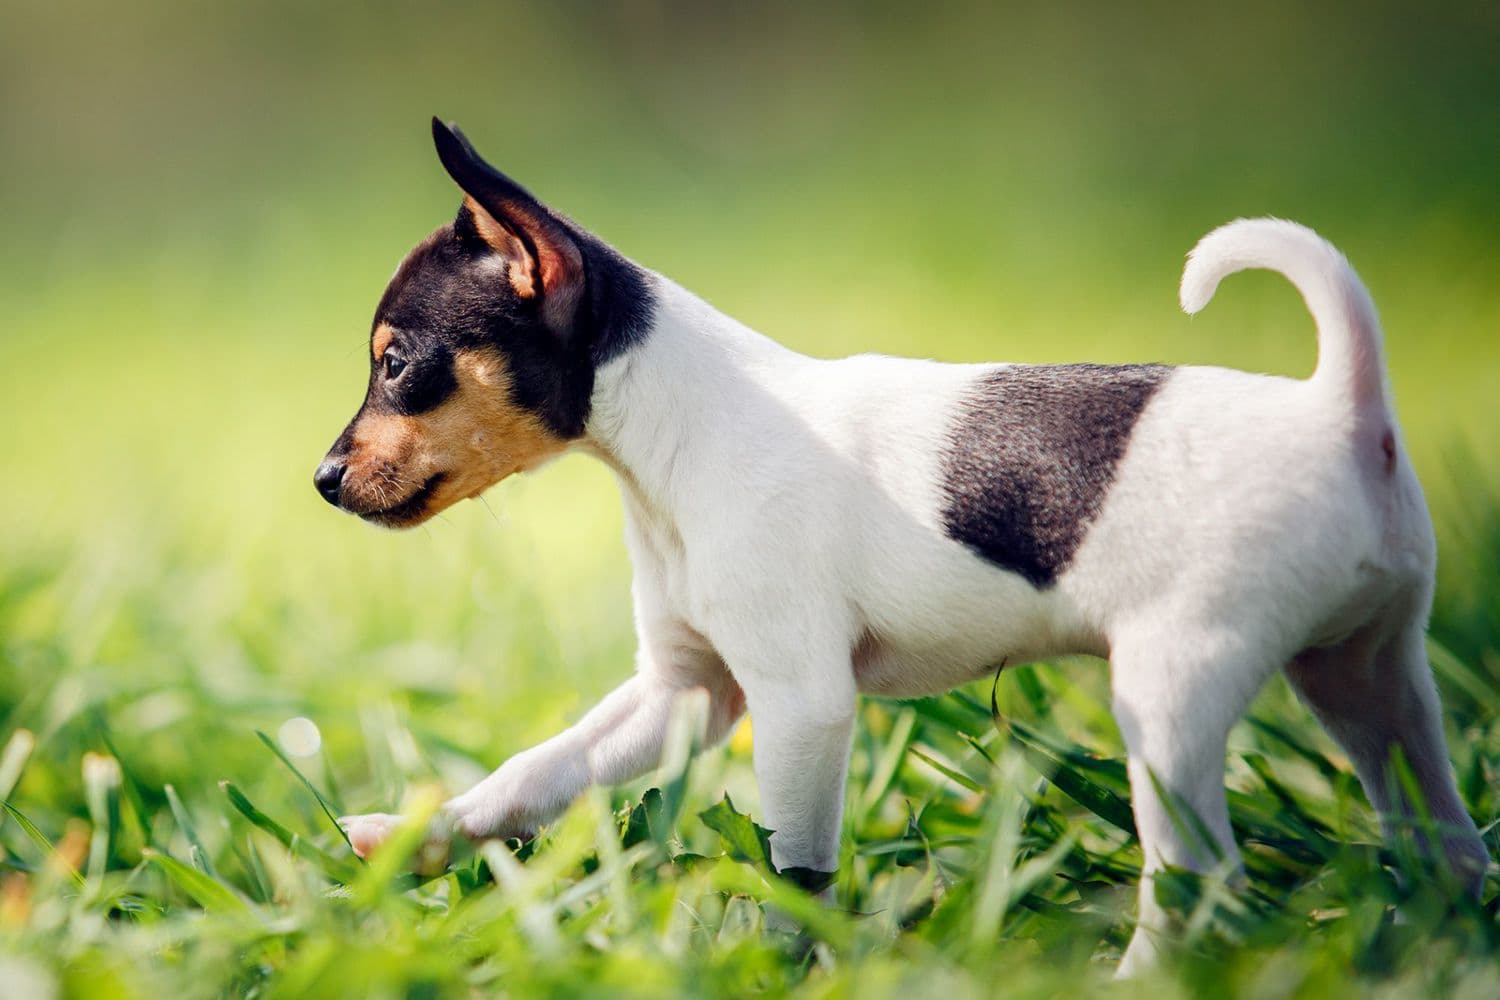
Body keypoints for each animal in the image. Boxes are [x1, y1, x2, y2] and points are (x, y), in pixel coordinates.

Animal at [319, 121, 1488, 971]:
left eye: (398, 364)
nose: (324, 481)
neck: (675, 435)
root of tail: (1346, 408)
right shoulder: (683, 695)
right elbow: (535, 774)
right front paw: (413, 842)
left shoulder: (800, 707)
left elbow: (796, 868)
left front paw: (786, 965)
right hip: (1368, 681)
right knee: (1447, 834)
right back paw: (1441, 928)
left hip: (1174, 696)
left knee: (1202, 880)